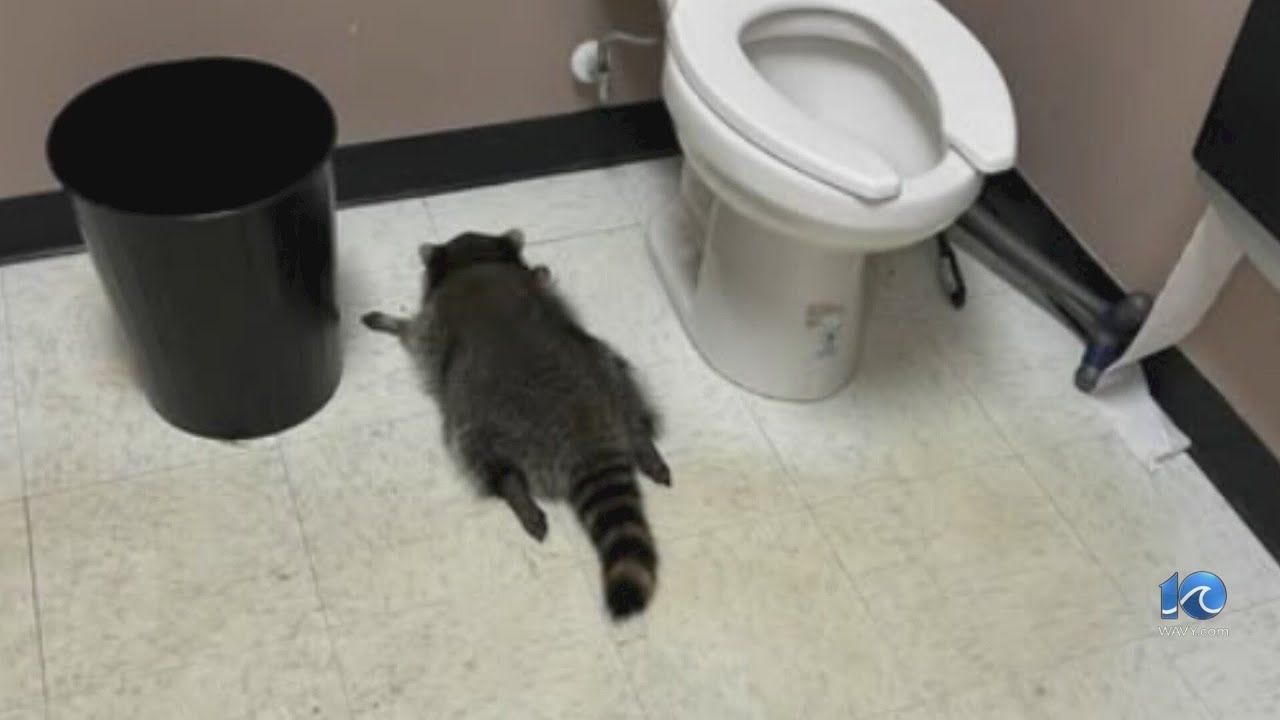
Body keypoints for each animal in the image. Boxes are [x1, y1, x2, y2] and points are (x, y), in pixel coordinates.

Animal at [361, 229, 670, 619]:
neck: (474, 261)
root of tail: (585, 431)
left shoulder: (433, 322)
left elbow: (414, 333)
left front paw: (392, 322)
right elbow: (540, 279)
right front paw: (542, 270)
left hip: (480, 417)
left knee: (481, 454)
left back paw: (515, 492)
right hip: (608, 369)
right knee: (626, 391)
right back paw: (644, 445)